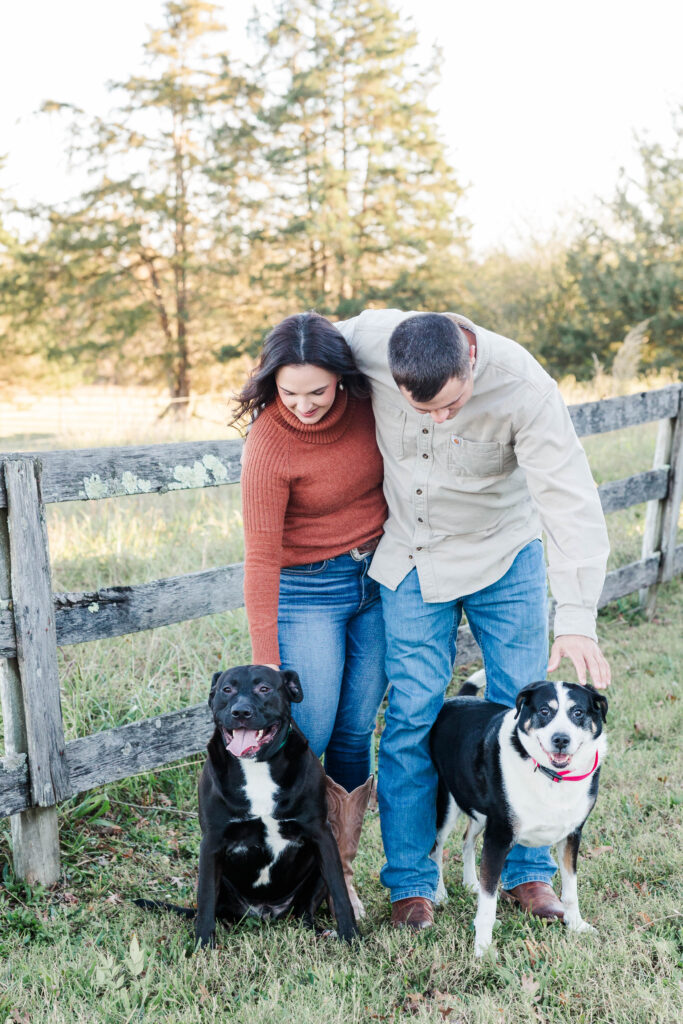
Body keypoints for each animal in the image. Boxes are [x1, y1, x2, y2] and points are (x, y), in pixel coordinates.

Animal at [432, 679, 610, 958]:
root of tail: (454, 699)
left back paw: (470, 883)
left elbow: (571, 890)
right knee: (436, 848)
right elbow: (488, 904)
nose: (561, 739)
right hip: (447, 803)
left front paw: (576, 925)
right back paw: (440, 895)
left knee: (467, 840)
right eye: (545, 711)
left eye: (578, 713)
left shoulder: (572, 835)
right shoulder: (498, 837)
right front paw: (483, 949)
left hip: (479, 810)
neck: (551, 777)